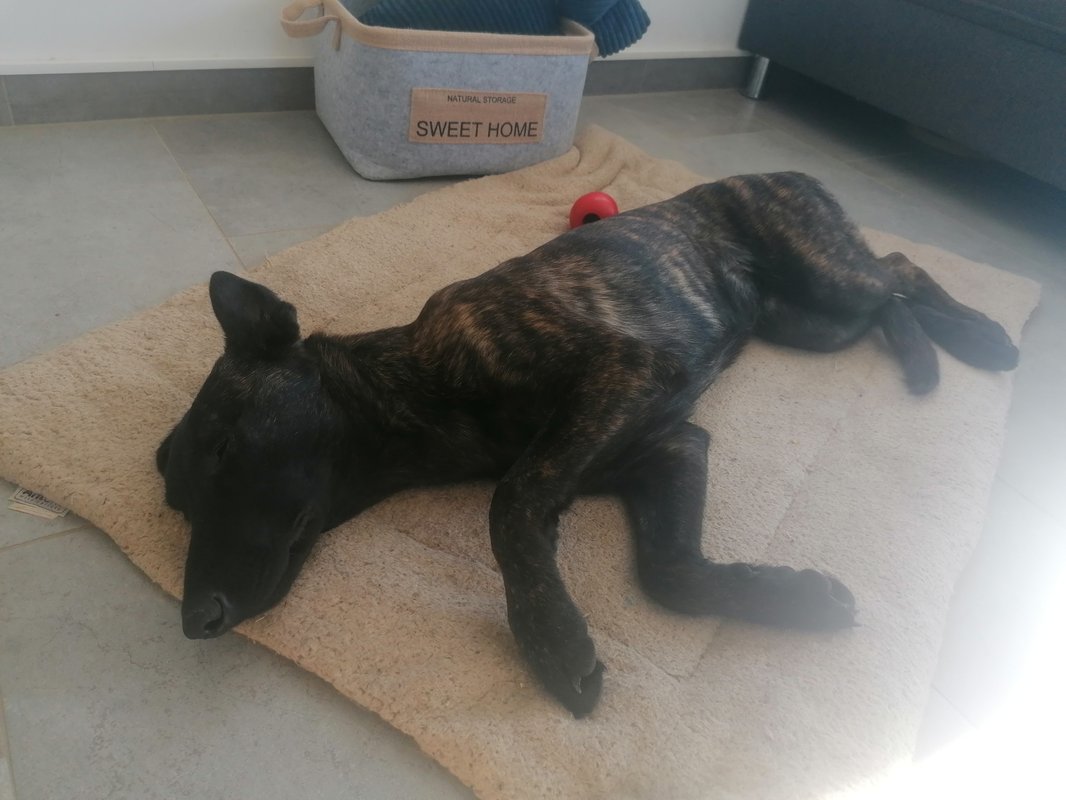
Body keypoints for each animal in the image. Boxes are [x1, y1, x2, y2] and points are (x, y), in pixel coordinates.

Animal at [156, 172, 1019, 717]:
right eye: (178, 502)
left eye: (228, 449)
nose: (193, 619)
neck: (417, 379)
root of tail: (788, 170)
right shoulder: (671, 449)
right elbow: (671, 574)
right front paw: (794, 598)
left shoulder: (622, 371)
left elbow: (511, 504)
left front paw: (549, 635)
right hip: (812, 323)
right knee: (889, 299)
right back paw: (924, 355)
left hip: (825, 277)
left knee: (899, 268)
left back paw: (983, 337)